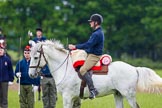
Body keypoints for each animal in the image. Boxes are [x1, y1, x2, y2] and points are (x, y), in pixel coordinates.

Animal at [28, 39, 162, 108]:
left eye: (35, 57)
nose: (30, 75)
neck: (64, 68)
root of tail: (134, 68)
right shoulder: (74, 98)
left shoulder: (67, 97)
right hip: (118, 94)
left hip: (128, 95)